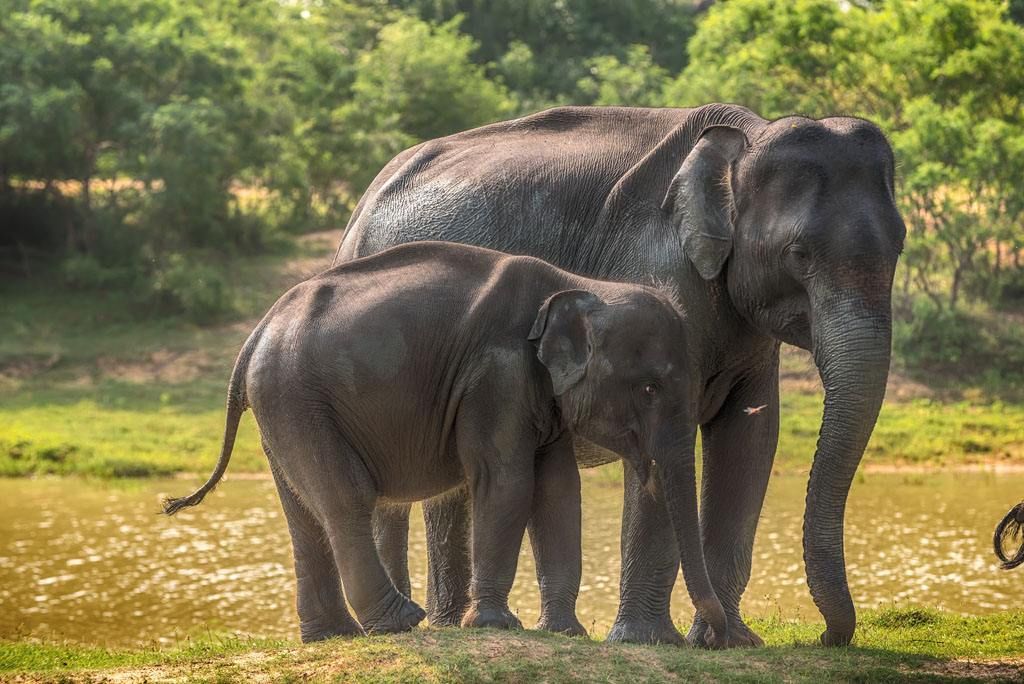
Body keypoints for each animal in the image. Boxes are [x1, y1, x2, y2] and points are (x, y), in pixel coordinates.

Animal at [163, 241, 729, 647]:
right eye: (650, 388)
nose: (716, 638)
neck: (579, 286)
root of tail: (254, 336)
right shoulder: (496, 373)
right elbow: (507, 480)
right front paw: (496, 626)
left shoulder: (540, 391)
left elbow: (558, 490)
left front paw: (564, 633)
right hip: (297, 399)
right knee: (345, 500)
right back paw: (400, 622)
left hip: (280, 409)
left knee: (304, 514)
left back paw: (332, 637)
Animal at [329, 104, 905, 651]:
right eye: (798, 254)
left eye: (899, 246)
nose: (826, 637)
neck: (748, 135)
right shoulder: (658, 272)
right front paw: (650, 640)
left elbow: (750, 438)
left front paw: (731, 642)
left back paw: (449, 624)